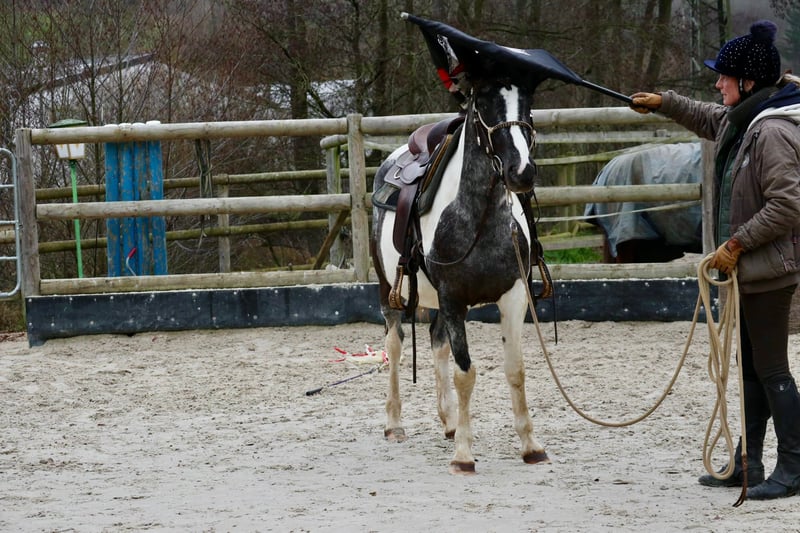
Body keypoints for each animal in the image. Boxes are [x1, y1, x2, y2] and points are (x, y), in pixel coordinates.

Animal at [370, 75, 550, 474]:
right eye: (484, 107)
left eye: (527, 106)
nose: (522, 172)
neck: (479, 218)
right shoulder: (453, 298)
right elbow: (465, 373)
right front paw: (464, 456)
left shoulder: (514, 297)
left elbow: (515, 369)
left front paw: (531, 446)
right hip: (390, 289)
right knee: (395, 344)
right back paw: (394, 424)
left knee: (437, 343)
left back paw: (450, 421)